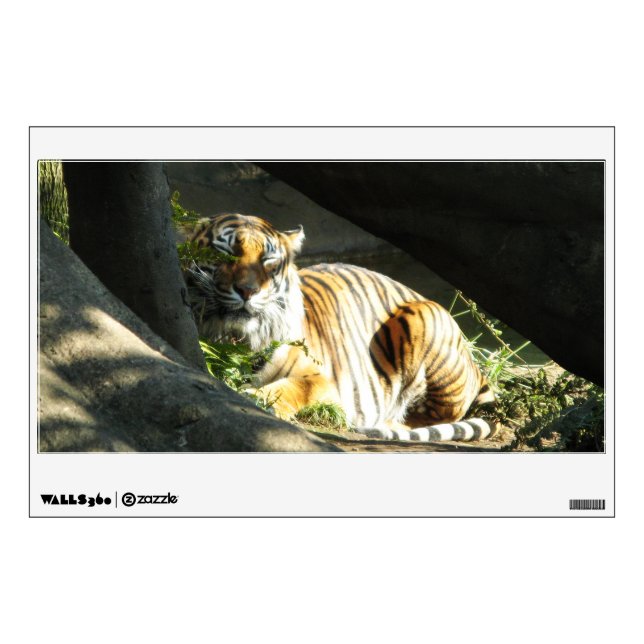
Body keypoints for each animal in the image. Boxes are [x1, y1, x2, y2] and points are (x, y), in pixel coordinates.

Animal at [184, 213, 495, 442]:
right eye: (225, 253)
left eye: (268, 260)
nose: (247, 291)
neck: (237, 338)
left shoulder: (323, 379)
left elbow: (293, 387)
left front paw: (258, 399)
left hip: (426, 319)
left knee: (433, 416)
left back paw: (386, 425)